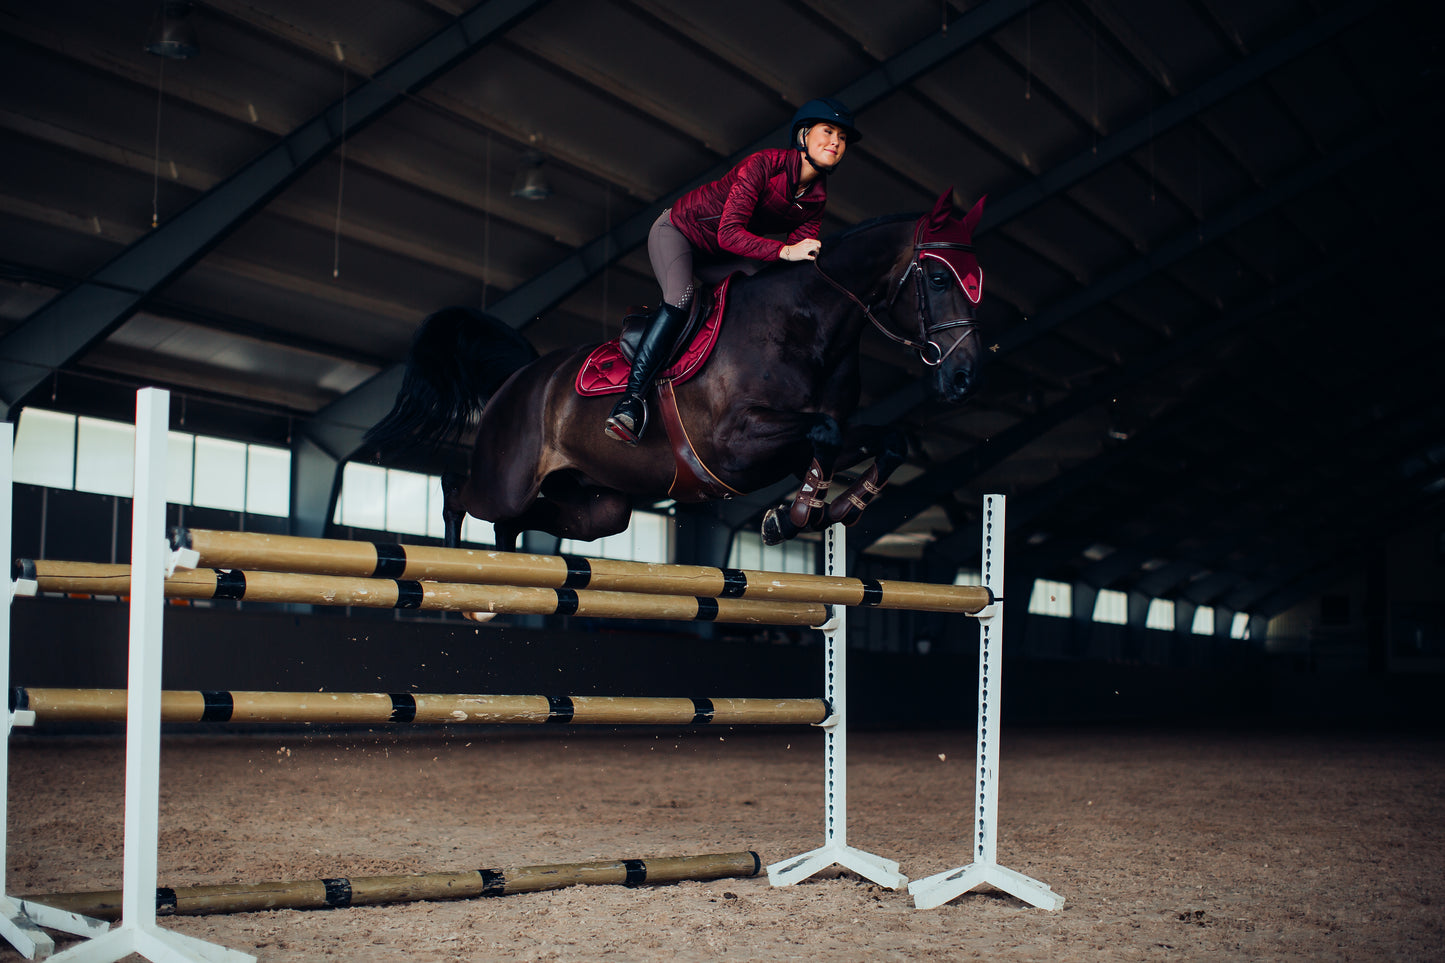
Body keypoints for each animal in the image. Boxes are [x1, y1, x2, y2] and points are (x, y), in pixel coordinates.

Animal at [367, 187, 988, 552]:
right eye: (938, 278)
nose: (964, 378)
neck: (808, 325)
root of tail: (521, 379)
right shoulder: (735, 443)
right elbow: (827, 433)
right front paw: (793, 516)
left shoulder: (789, 449)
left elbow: (883, 441)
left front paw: (819, 512)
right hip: (507, 476)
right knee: (461, 492)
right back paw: (455, 576)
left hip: (601, 503)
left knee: (527, 521)